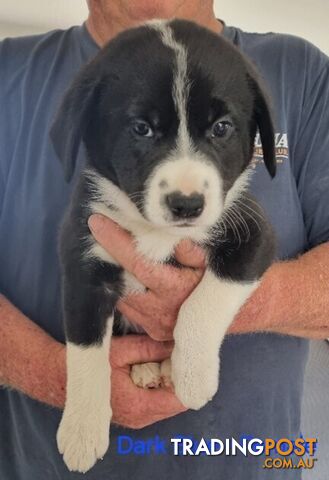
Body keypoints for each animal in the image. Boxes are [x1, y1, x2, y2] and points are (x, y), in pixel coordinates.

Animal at [51, 17, 276, 472]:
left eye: (221, 128)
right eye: (142, 128)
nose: (187, 204)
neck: (157, 232)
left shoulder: (253, 233)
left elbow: (202, 305)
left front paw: (192, 376)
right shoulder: (83, 259)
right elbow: (84, 349)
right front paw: (82, 429)